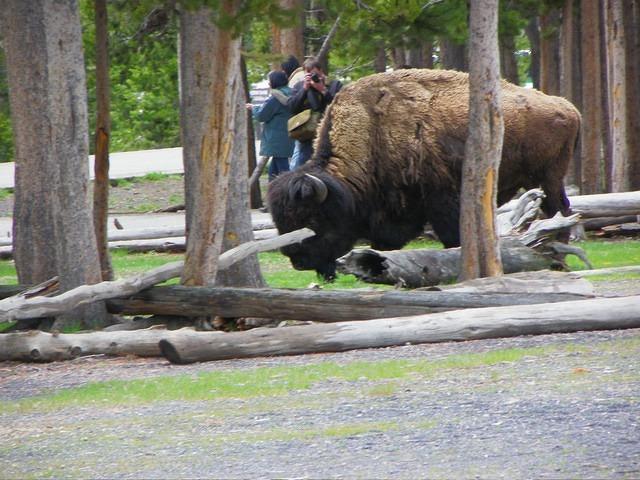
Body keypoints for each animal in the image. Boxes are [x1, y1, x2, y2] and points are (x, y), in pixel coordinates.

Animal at [267, 69, 581, 280]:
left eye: (311, 219)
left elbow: (452, 233)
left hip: (551, 176)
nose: (298, 261)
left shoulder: (441, 198)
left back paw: (559, 250)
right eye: (281, 221)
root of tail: (567, 107)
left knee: (559, 208)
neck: (373, 133)